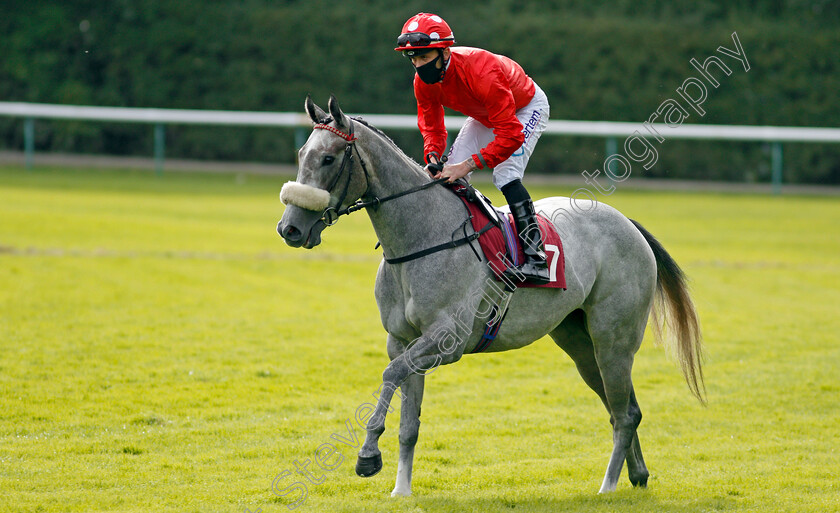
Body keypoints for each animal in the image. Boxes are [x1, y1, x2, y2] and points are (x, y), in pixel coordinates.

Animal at [276, 96, 704, 496]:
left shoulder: (446, 341)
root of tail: (626, 222)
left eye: (328, 158)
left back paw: (608, 486)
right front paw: (401, 489)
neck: (421, 238)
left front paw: (367, 455)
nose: (290, 229)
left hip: (614, 339)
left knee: (624, 413)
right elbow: (408, 421)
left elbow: (390, 374)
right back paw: (637, 474)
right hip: (580, 343)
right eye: (300, 155)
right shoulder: (402, 340)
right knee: (623, 408)